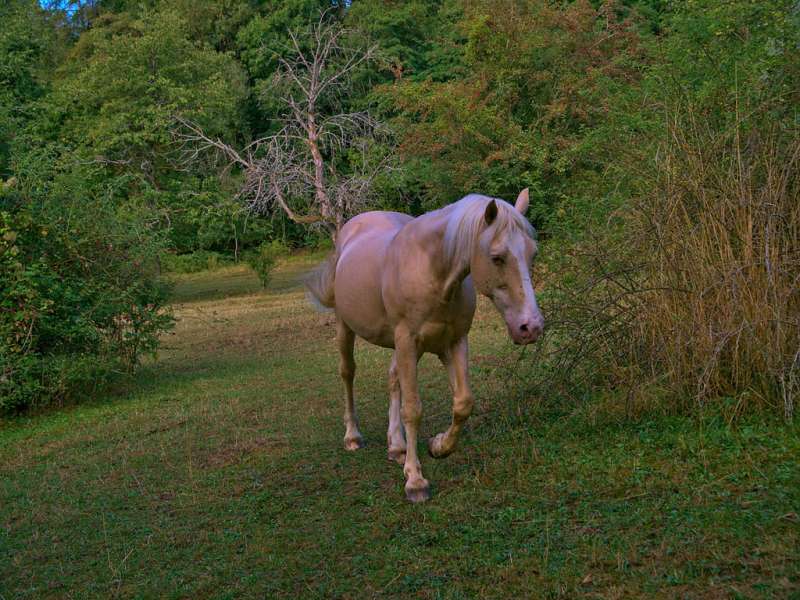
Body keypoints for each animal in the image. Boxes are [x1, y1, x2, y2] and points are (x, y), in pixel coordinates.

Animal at [306, 189, 544, 502]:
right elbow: (413, 409)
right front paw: (415, 480)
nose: (531, 327)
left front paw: (439, 446)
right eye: (497, 257)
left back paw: (396, 445)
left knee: (393, 378)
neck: (432, 272)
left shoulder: (452, 342)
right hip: (346, 327)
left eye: (532, 253)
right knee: (348, 373)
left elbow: (463, 402)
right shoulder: (407, 341)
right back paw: (353, 436)